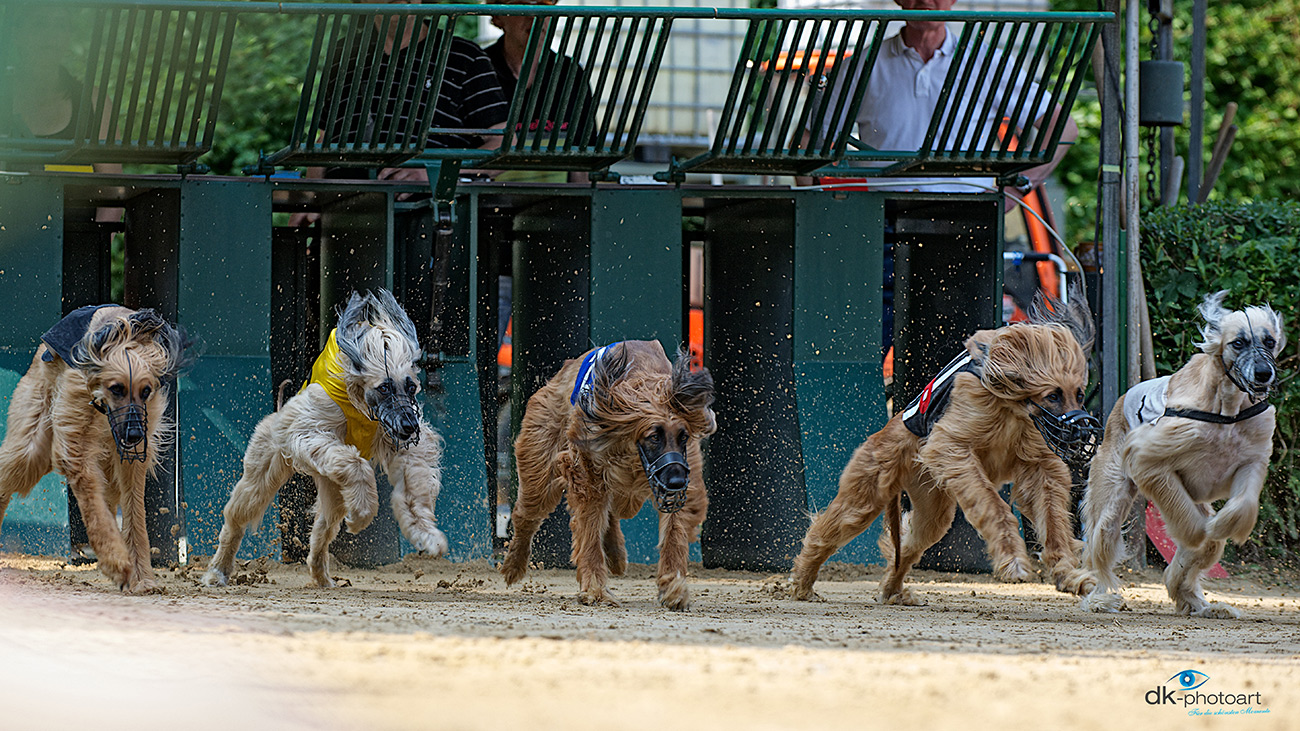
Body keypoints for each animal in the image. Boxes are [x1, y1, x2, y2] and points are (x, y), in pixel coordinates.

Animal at [0, 304, 188, 587]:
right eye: (116, 388)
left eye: (146, 391)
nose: (134, 435)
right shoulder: (75, 440)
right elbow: (92, 504)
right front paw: (115, 560)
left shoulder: (131, 457)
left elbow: (134, 511)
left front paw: (141, 576)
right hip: (31, 445)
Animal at [201, 290, 447, 585]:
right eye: (384, 387)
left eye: (411, 386)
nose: (410, 427)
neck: (360, 402)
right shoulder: (309, 428)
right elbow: (353, 461)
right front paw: (363, 513)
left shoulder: (398, 440)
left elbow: (413, 478)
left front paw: (425, 534)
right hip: (263, 469)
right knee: (238, 515)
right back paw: (217, 570)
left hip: (333, 488)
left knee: (323, 526)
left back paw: (321, 576)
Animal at [499, 340, 722, 608]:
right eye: (654, 436)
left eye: (683, 436)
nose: (677, 482)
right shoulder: (587, 471)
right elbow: (590, 527)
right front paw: (596, 588)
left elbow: (674, 529)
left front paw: (673, 587)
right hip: (540, 462)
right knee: (526, 515)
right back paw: (513, 565)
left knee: (613, 513)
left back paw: (616, 555)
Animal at [1081, 290, 1284, 613]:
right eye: (1237, 342)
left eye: (1269, 341)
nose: (1263, 374)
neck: (1226, 409)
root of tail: (1119, 401)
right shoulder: (1150, 458)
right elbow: (1192, 528)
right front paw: (1201, 532)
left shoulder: (1251, 461)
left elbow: (1241, 505)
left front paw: (1220, 526)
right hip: (1112, 492)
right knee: (1101, 543)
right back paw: (1100, 597)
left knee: (1201, 553)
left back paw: (1198, 602)